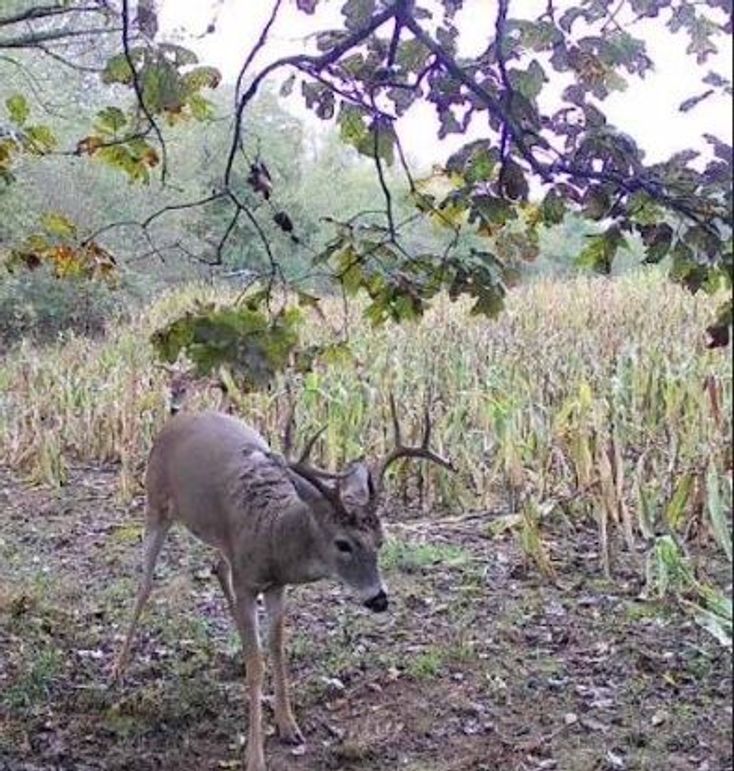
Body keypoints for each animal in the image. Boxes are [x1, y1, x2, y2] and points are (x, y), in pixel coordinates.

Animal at [112, 396, 453, 771]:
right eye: (343, 544)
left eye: (381, 541)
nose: (379, 599)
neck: (273, 535)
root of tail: (177, 418)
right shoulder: (249, 583)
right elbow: (257, 665)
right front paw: (255, 756)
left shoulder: (275, 586)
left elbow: (275, 648)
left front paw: (289, 726)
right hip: (155, 502)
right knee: (145, 583)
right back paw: (117, 671)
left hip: (218, 540)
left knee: (217, 566)